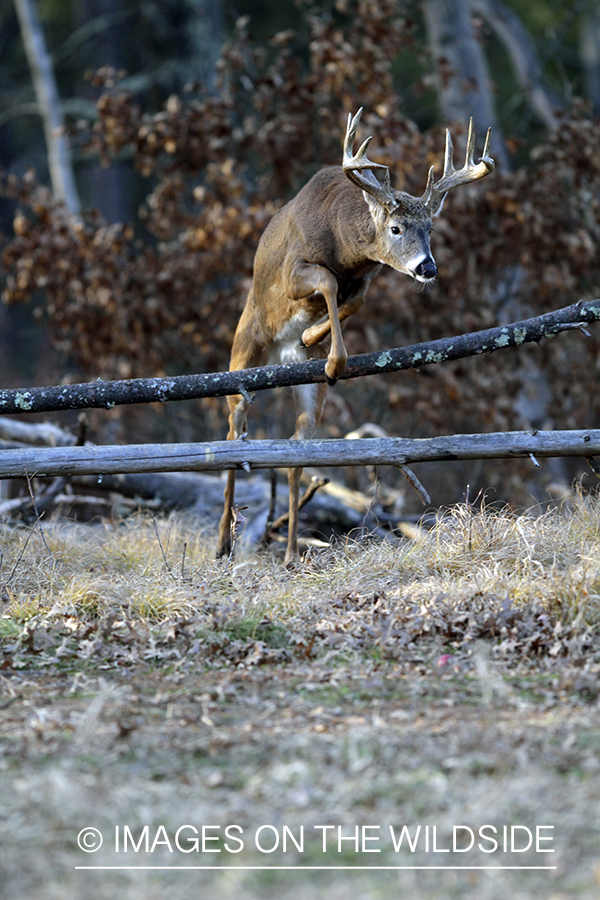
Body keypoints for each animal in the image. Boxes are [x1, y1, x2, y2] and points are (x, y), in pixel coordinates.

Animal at [216, 110, 492, 564]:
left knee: (295, 451)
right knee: (232, 433)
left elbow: (355, 301)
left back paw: (291, 554)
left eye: (431, 227)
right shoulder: (295, 270)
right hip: (243, 354)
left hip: (307, 390)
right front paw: (331, 355)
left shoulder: (365, 278)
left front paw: (315, 339)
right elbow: (328, 282)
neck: (344, 245)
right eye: (396, 227)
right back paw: (223, 541)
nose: (427, 268)